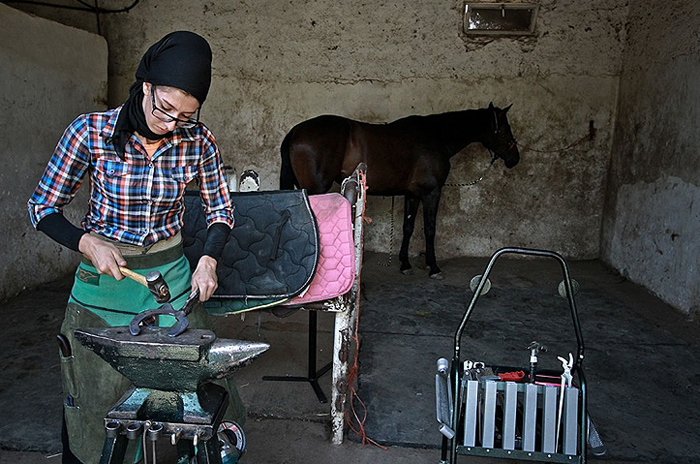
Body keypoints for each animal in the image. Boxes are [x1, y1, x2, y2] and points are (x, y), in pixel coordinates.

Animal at [278, 103, 520, 278]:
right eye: (506, 129)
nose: (515, 159)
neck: (437, 136)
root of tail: (296, 131)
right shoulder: (432, 192)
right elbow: (429, 228)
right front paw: (433, 267)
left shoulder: (412, 194)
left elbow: (408, 227)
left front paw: (405, 264)